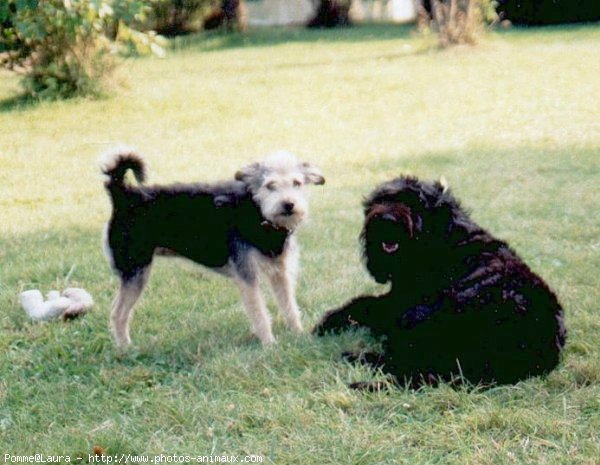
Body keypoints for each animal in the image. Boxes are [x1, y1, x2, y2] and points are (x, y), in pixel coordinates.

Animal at [100, 148, 324, 348]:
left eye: (297, 183)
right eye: (270, 185)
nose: (288, 204)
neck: (258, 212)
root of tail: (124, 194)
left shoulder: (280, 273)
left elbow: (290, 307)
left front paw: (299, 335)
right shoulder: (247, 276)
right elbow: (260, 314)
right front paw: (270, 345)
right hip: (136, 273)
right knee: (117, 314)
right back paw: (125, 349)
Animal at [314, 176, 568, 386]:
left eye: (414, 202)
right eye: (380, 199)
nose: (386, 219)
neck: (444, 241)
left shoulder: (400, 306)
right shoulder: (393, 299)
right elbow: (362, 303)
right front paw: (327, 323)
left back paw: (359, 357)